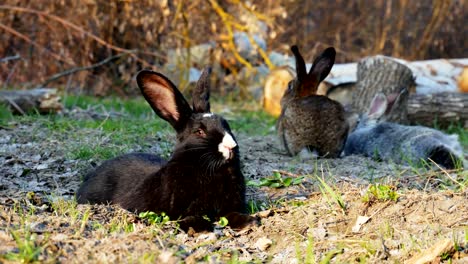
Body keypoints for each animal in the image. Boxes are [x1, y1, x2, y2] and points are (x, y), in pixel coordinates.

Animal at [78, 67, 258, 232]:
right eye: (199, 132)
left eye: (226, 124)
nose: (231, 146)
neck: (209, 169)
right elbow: (189, 217)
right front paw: (199, 227)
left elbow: (231, 215)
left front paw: (250, 222)